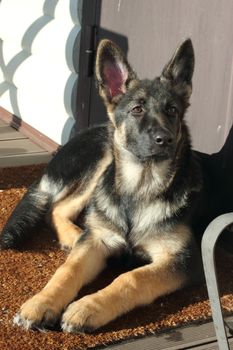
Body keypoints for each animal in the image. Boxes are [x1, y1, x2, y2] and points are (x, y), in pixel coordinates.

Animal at [0, 39, 205, 334]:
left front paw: (88, 307)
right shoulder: (96, 242)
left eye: (172, 111)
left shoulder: (184, 260)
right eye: (137, 109)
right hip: (104, 158)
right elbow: (68, 270)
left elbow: (132, 278)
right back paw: (75, 237)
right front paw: (42, 302)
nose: (164, 139)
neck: (140, 187)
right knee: (58, 209)